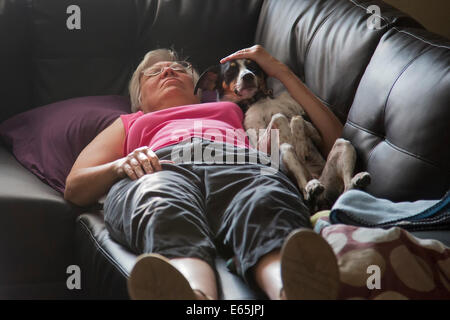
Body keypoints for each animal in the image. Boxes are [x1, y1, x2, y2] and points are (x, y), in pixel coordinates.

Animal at [195, 58, 370, 211]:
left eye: (253, 67)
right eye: (231, 71)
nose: (248, 76)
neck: (260, 100)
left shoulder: (316, 135)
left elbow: (296, 118)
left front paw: (300, 142)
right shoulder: (258, 145)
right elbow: (279, 117)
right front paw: (287, 133)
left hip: (344, 144)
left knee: (347, 188)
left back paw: (357, 181)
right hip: (286, 152)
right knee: (305, 190)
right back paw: (312, 189)